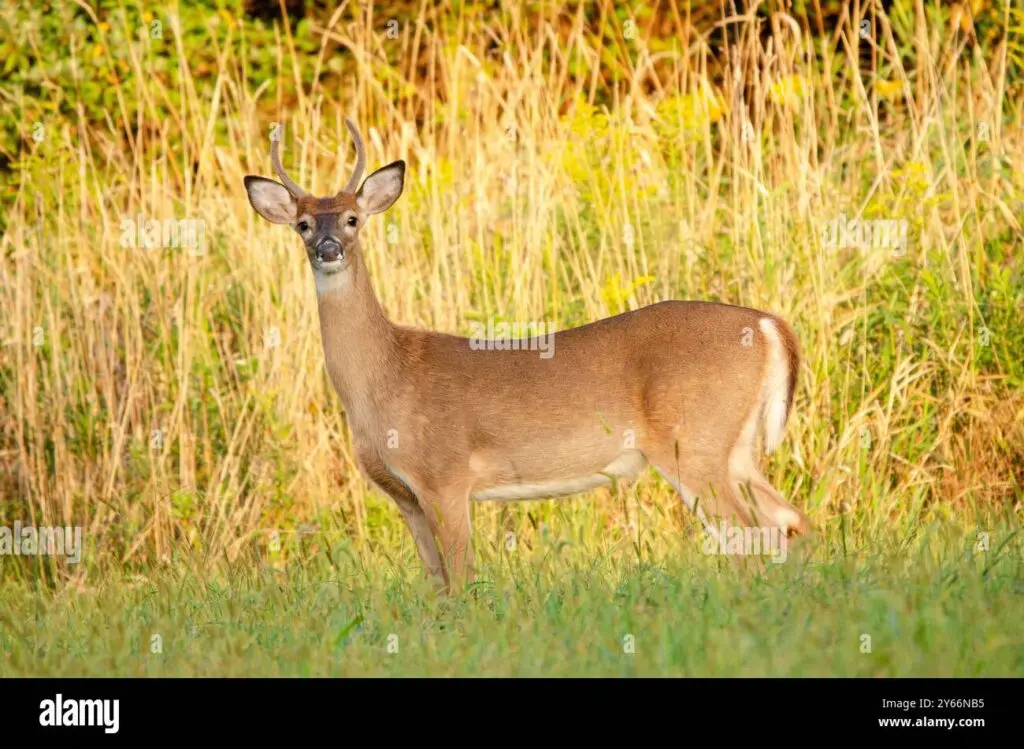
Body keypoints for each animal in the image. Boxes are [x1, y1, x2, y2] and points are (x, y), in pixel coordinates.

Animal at [244, 117, 813, 593]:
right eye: (302, 224)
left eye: (352, 219)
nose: (329, 249)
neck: (386, 379)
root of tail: (768, 324)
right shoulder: (405, 496)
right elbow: (436, 585)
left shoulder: (446, 475)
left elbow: (462, 580)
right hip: (734, 447)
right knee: (786, 521)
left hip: (692, 441)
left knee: (747, 533)